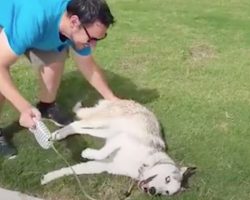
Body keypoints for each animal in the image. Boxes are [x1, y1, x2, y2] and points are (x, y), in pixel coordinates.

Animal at [42, 99, 196, 196]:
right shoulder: (122, 138)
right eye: (167, 179)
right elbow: (102, 152)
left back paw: (61, 135)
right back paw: (58, 134)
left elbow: (72, 170)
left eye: (165, 192)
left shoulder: (104, 165)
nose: (152, 191)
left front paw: (47, 178)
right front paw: (87, 153)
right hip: (101, 122)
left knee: (80, 129)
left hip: (104, 131)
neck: (141, 165)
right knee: (76, 124)